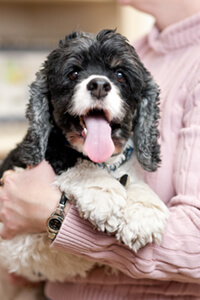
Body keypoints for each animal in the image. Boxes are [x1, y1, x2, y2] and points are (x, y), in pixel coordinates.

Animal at [0, 28, 169, 300]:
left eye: (120, 74)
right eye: (73, 73)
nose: (99, 84)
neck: (105, 163)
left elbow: (135, 182)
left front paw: (144, 212)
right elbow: (72, 161)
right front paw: (103, 193)